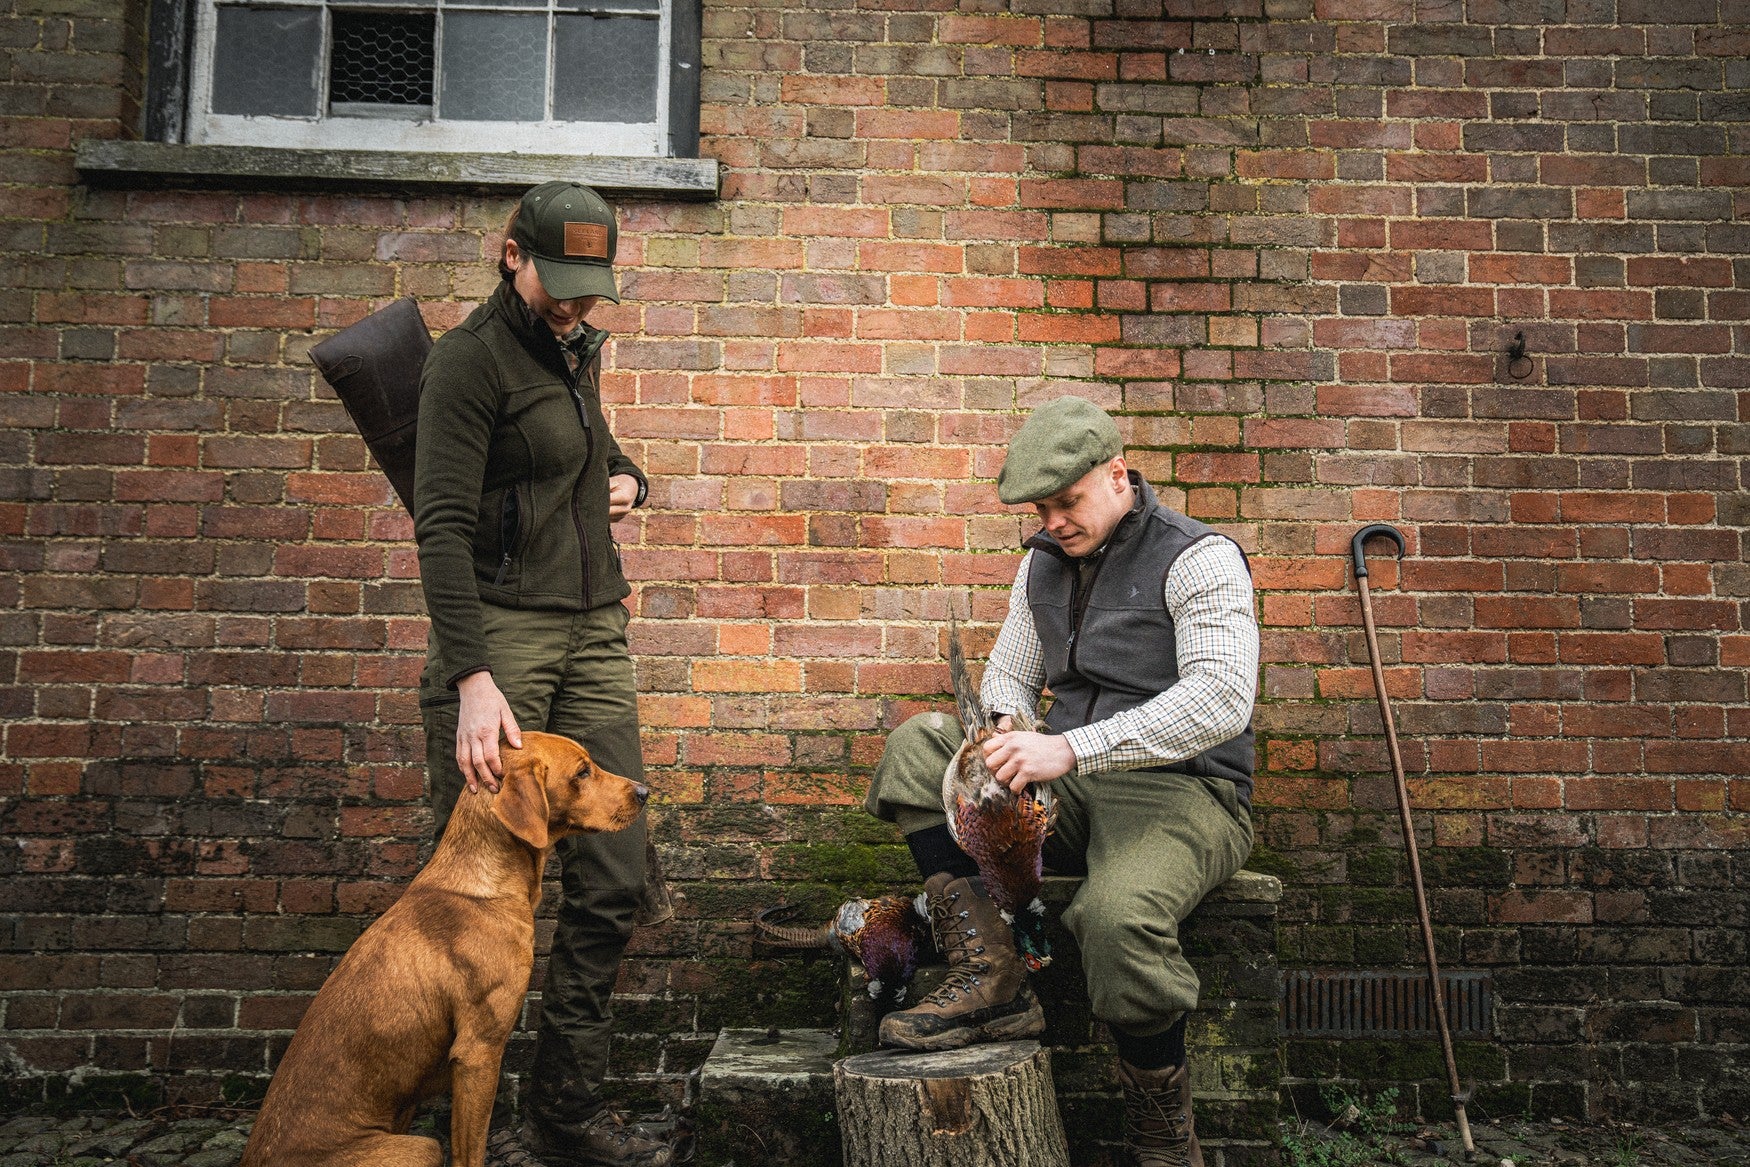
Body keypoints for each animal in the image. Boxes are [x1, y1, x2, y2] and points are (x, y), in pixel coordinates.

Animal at [241, 734, 651, 1161]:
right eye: (583, 772)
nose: (645, 792)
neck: (486, 884)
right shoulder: (478, 1052)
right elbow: (470, 1152)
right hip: (421, 1147)